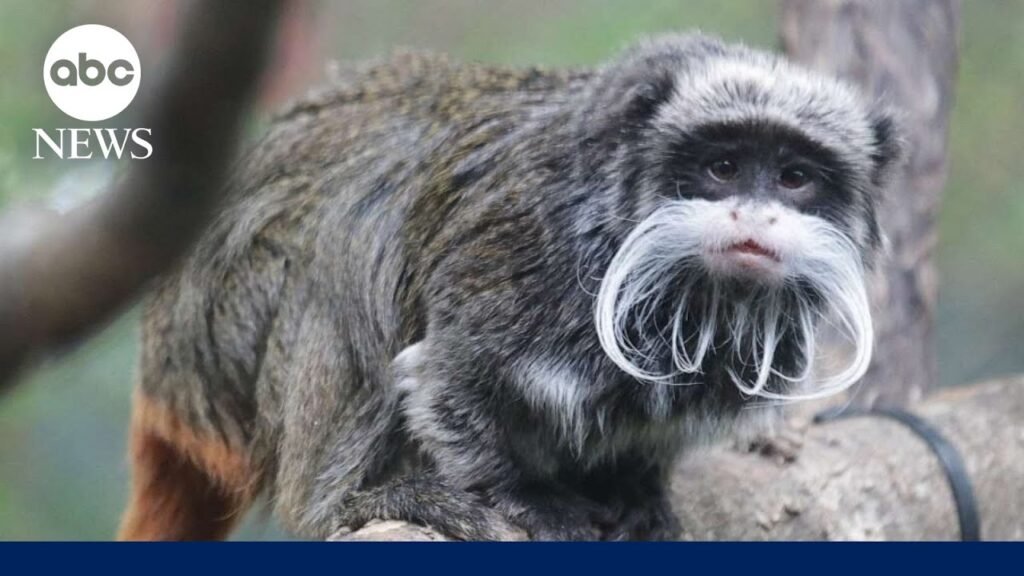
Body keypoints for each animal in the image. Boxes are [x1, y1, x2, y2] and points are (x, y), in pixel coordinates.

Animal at [117, 33, 903, 541]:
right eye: (724, 167)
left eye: (795, 177)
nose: (756, 214)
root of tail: (163, 366)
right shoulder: (524, 261)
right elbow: (445, 378)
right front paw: (523, 496)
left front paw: (634, 483)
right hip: (224, 334)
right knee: (351, 236)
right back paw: (344, 500)